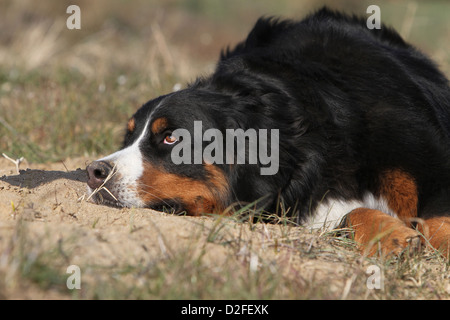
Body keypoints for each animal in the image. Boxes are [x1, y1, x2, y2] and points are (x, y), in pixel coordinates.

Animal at [87, 7, 450, 258]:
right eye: (128, 137)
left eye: (171, 137)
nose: (94, 171)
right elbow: (349, 213)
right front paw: (392, 237)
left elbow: (437, 214)